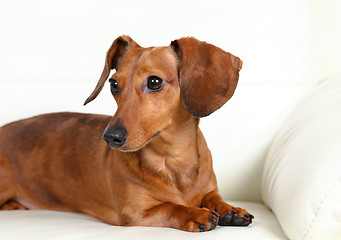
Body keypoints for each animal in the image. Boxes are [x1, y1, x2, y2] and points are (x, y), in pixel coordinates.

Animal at [0, 35, 252, 231]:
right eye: (113, 84)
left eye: (154, 81)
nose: (111, 137)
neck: (172, 160)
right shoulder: (136, 213)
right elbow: (170, 207)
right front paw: (194, 213)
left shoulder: (209, 189)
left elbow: (213, 197)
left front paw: (231, 209)